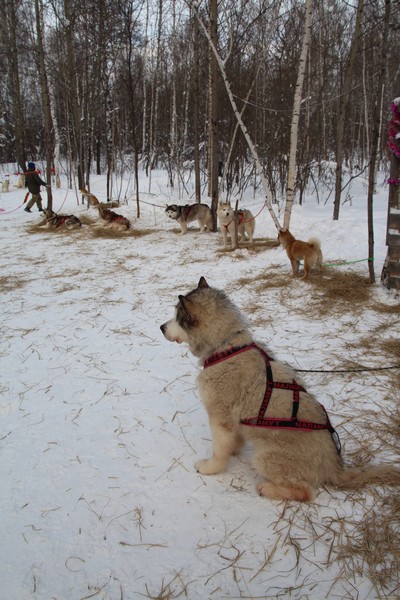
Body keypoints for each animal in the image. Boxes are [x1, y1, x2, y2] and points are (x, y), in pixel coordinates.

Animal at [161, 278, 400, 502]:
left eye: (177, 317)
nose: (161, 327)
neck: (227, 347)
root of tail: (334, 467)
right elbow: (234, 440)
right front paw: (235, 450)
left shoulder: (221, 417)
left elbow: (219, 450)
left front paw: (211, 467)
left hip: (265, 458)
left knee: (305, 492)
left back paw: (267, 488)